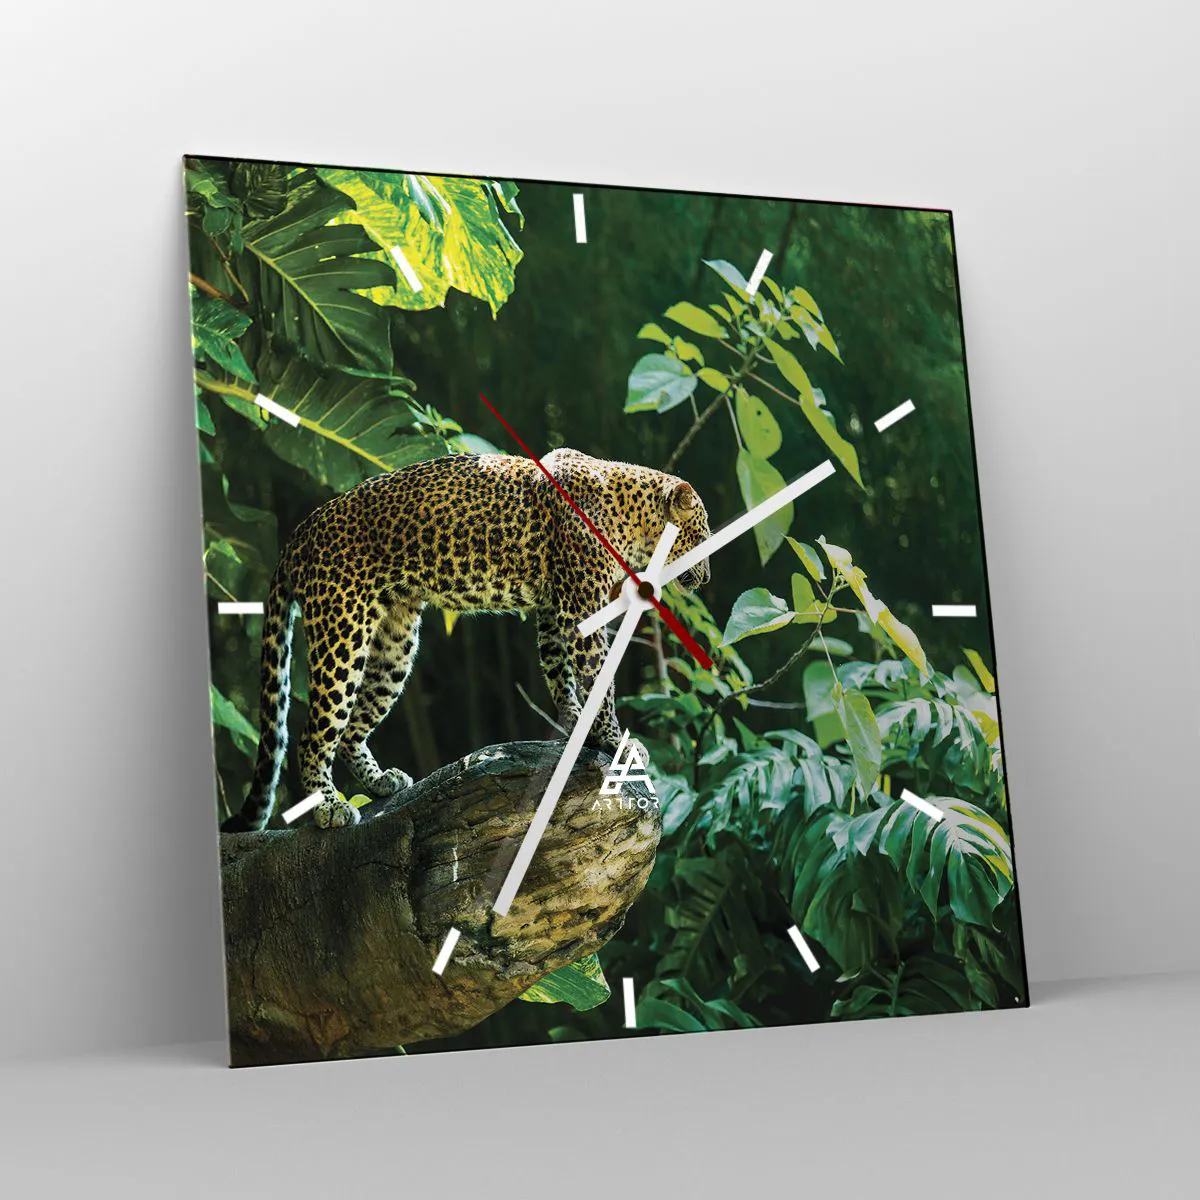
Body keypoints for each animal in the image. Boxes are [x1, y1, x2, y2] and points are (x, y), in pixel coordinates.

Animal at [221, 448, 711, 832]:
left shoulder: (554, 609)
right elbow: (598, 678)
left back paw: (381, 782)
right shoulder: (579, 606)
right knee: (313, 733)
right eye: (701, 537)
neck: (633, 519)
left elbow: (559, 670)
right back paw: (328, 806)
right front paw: (615, 740)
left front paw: (575, 723)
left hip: (395, 642)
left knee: (351, 728)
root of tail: (301, 530)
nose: (707, 579)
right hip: (342, 629)